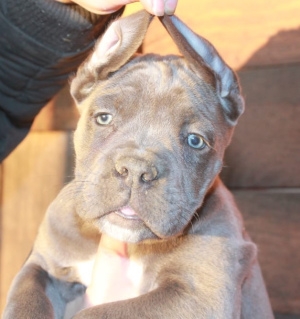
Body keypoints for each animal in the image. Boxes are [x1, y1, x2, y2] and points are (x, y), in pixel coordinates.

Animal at [2, 10, 274, 319]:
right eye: (104, 118)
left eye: (195, 141)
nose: (135, 171)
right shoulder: (43, 265)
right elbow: (26, 300)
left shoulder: (200, 294)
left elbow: (96, 313)